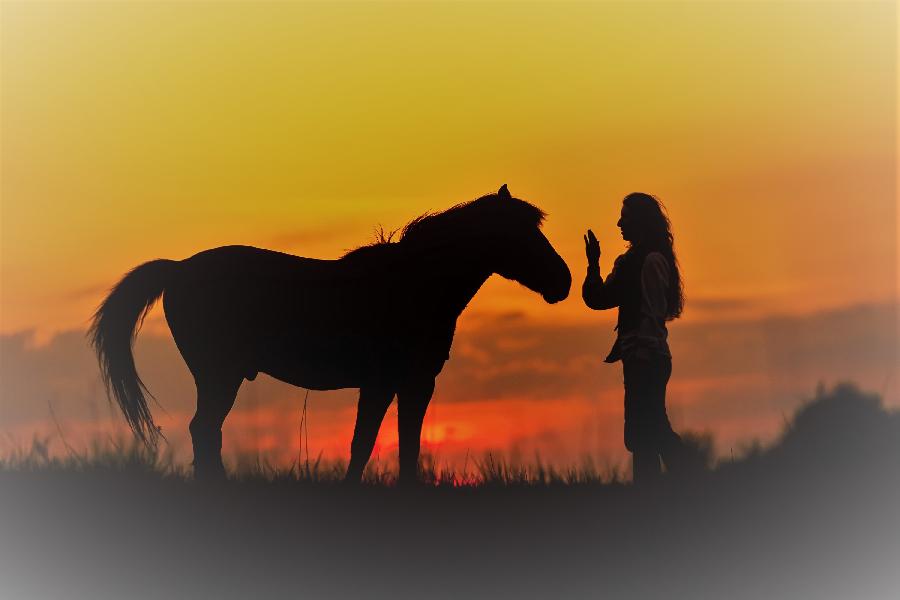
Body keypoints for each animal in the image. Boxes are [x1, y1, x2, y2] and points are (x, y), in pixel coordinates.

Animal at [89, 184, 568, 482]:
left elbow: (406, 445)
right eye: (522, 234)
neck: (413, 285)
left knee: (206, 431)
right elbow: (365, 443)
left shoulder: (413, 384)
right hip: (218, 376)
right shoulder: (383, 383)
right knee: (204, 430)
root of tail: (178, 268)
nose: (563, 282)